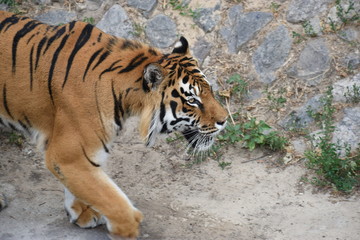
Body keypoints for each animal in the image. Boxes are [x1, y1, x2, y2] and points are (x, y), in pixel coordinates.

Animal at [0, 9, 228, 238]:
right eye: (193, 101)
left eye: (210, 90)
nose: (224, 120)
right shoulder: (67, 155)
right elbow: (109, 197)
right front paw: (126, 228)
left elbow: (86, 187)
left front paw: (81, 212)